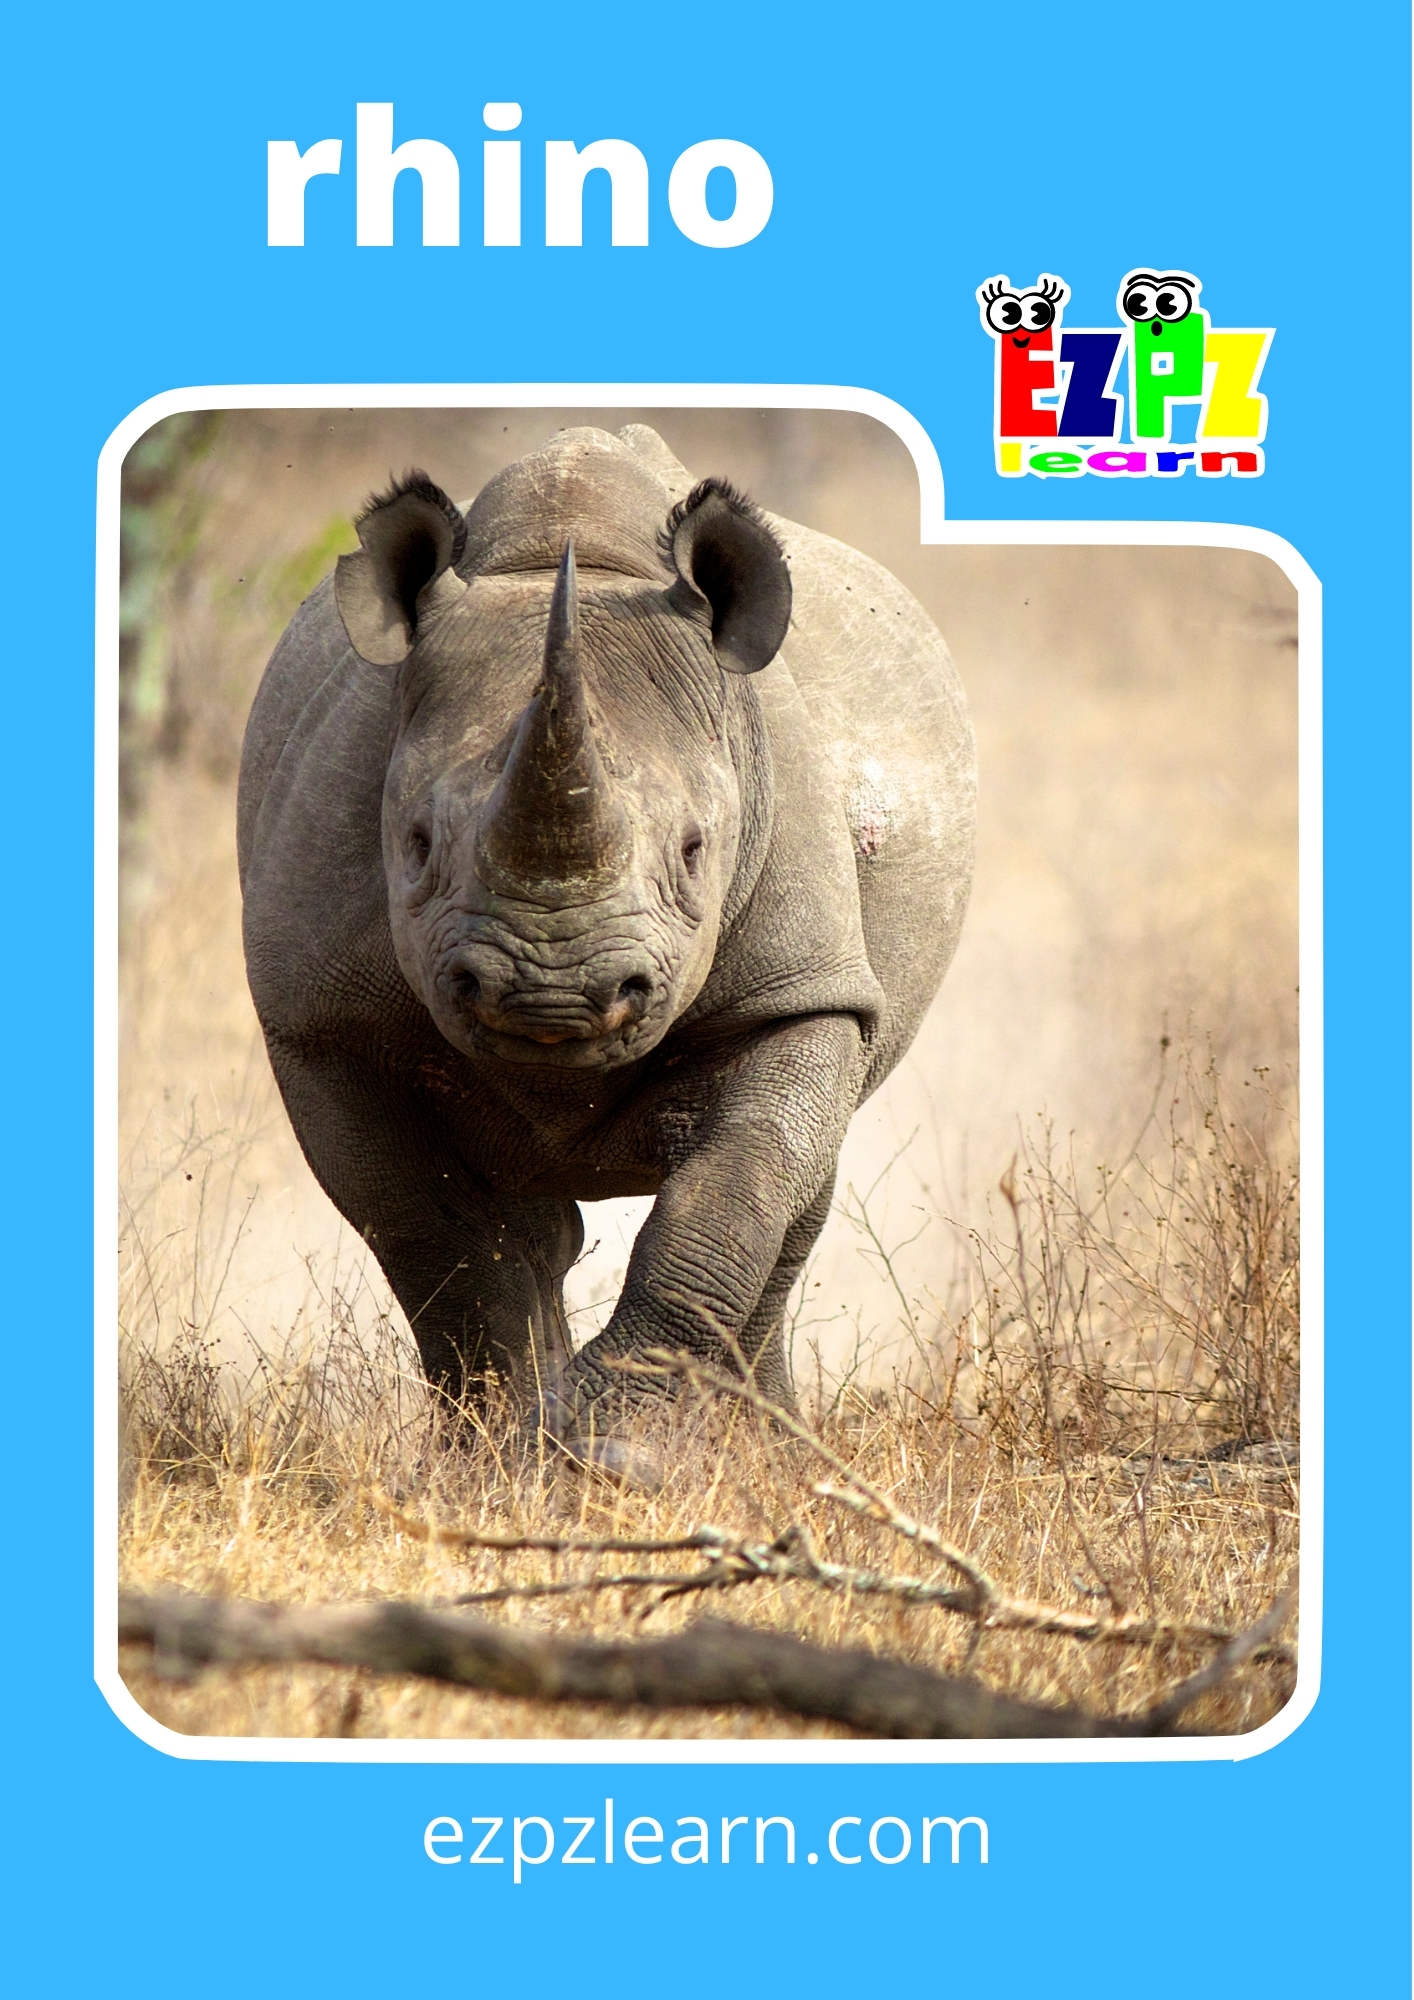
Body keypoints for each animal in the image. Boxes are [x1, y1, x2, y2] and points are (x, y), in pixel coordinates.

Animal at [238, 424, 974, 1468]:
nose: (550, 997)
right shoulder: (318, 1021)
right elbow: (430, 1236)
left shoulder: (799, 988)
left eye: (695, 849)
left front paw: (611, 1450)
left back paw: (769, 1452)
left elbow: (728, 1200)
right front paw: (503, 1456)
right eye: (415, 844)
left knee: (798, 1189)